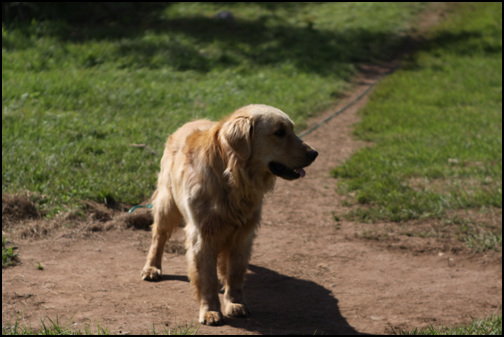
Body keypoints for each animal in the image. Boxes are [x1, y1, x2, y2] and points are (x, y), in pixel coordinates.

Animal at [140, 103, 316, 324]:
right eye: (279, 132)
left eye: (292, 129)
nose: (315, 153)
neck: (232, 179)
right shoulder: (202, 235)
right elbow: (207, 278)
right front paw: (210, 311)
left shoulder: (243, 234)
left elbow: (234, 273)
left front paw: (235, 303)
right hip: (167, 204)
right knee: (158, 237)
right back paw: (152, 268)